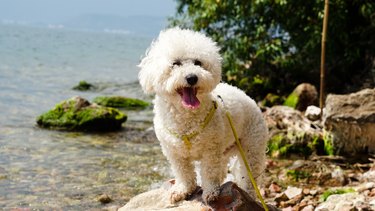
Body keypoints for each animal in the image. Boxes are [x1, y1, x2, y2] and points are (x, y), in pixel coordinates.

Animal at [140, 27, 268, 204]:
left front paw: (210, 192)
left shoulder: (210, 150)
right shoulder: (174, 152)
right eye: (176, 63)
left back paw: (248, 194)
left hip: (251, 147)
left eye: (198, 63)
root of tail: (251, 100)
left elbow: (209, 172)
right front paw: (182, 190)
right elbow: (183, 173)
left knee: (249, 175)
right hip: (225, 149)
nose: (192, 77)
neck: (186, 118)